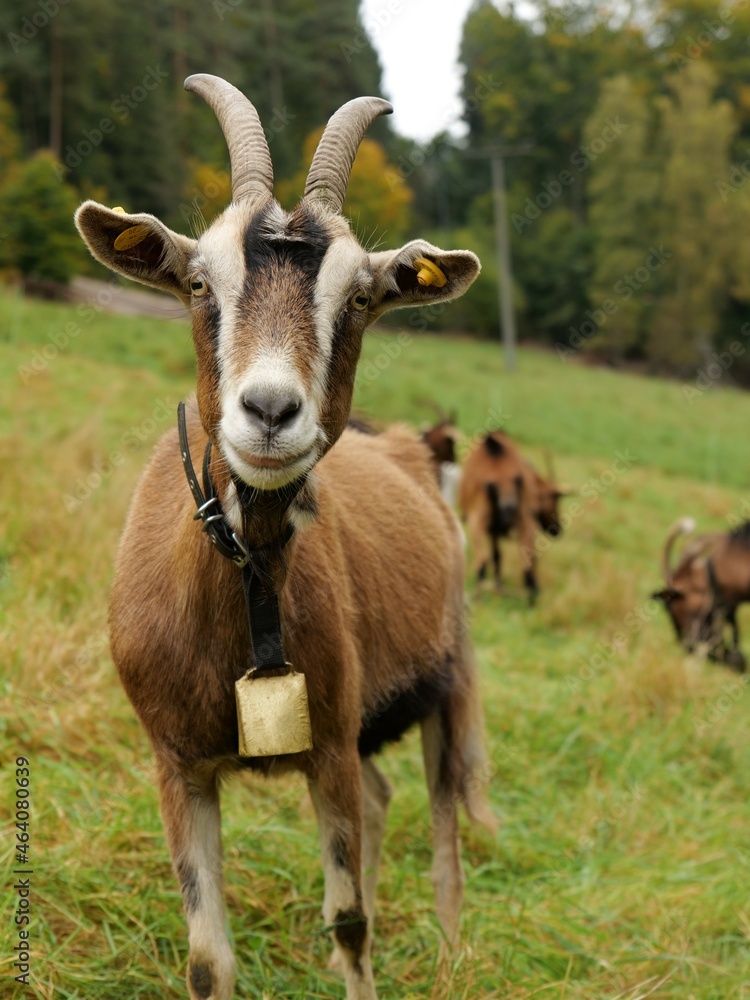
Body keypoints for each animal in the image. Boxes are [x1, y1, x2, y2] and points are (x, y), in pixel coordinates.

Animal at [75, 76, 494, 1000]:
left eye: (363, 297)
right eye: (199, 283)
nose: (269, 411)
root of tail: (410, 449)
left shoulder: (328, 742)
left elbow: (352, 921)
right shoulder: (177, 762)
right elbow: (207, 958)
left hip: (446, 677)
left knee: (444, 822)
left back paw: (452, 953)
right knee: (383, 796)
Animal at [458, 430, 564, 600]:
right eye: (554, 500)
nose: (557, 529)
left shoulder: (491, 528)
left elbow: (496, 555)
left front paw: (498, 586)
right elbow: (499, 555)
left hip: (480, 520)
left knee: (483, 561)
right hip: (523, 519)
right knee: (527, 563)